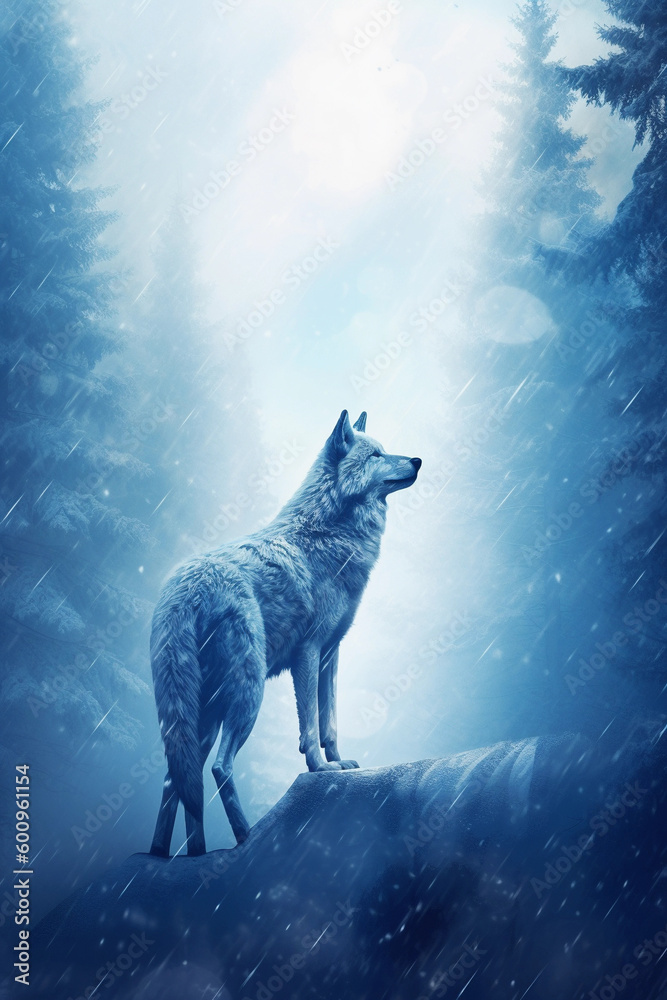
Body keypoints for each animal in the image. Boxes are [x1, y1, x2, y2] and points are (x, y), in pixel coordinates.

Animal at [149, 410, 421, 856]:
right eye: (376, 455)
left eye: (387, 450)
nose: (417, 460)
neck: (329, 533)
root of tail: (183, 589)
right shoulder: (308, 652)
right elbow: (310, 724)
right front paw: (319, 767)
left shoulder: (332, 652)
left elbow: (330, 721)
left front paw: (339, 762)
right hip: (247, 693)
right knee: (219, 767)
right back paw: (245, 838)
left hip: (201, 717)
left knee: (178, 778)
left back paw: (179, 855)